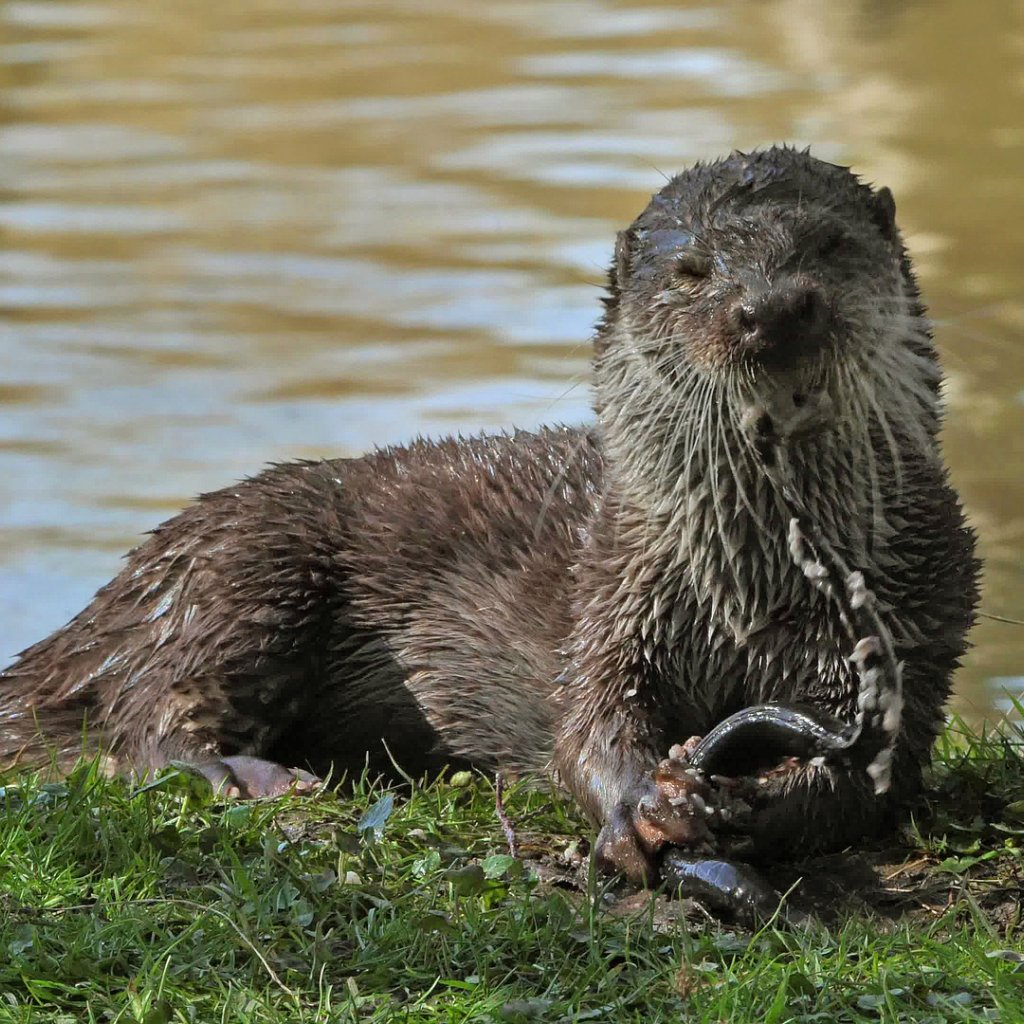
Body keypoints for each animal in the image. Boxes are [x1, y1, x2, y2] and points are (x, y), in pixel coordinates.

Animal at [0, 146, 974, 888]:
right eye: (693, 272)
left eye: (828, 243)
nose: (771, 306)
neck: (746, 596)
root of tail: (109, 605)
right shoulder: (611, 599)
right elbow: (585, 728)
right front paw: (640, 806)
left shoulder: (918, 627)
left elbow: (871, 779)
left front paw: (758, 803)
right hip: (246, 566)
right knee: (142, 720)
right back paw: (250, 777)